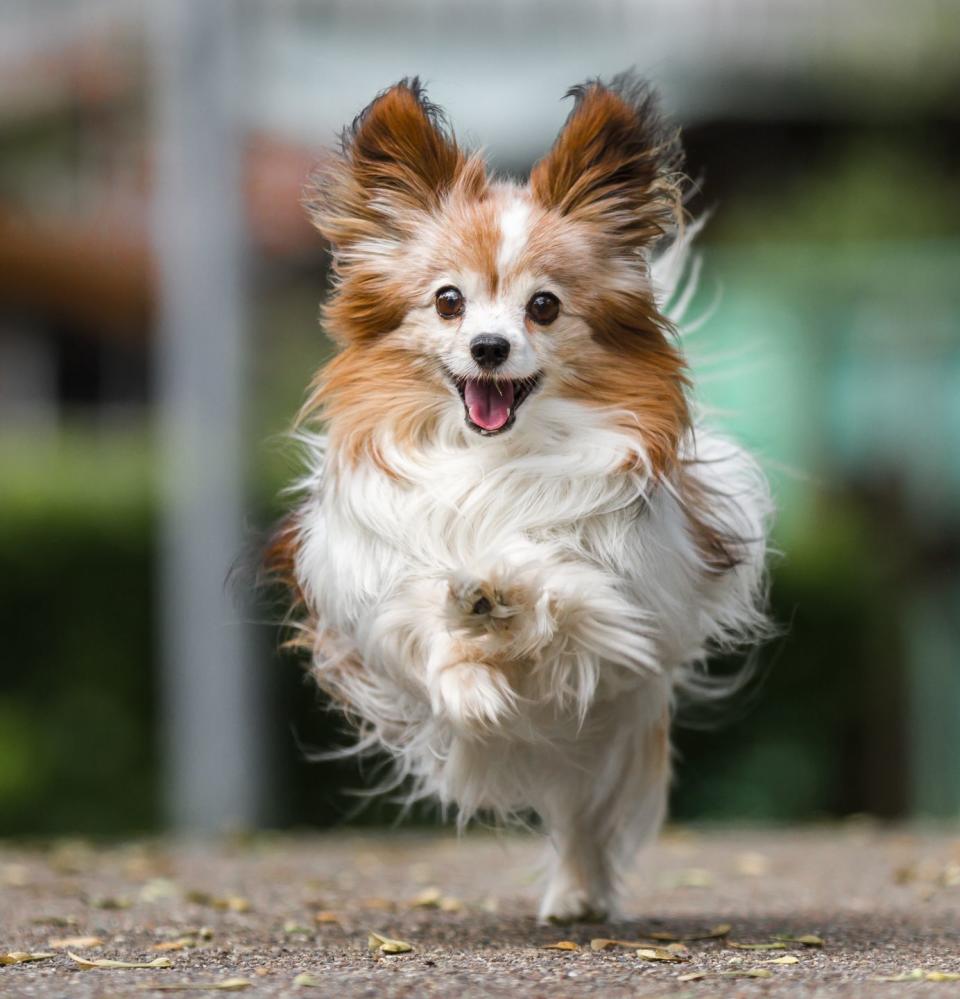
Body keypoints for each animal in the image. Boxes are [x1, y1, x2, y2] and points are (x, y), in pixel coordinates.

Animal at [270, 74, 772, 924]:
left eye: (543, 306)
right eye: (449, 302)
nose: (489, 347)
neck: (491, 458)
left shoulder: (618, 618)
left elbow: (557, 588)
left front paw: (505, 588)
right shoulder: (376, 597)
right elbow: (423, 619)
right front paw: (469, 670)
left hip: (603, 737)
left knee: (582, 815)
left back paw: (577, 891)